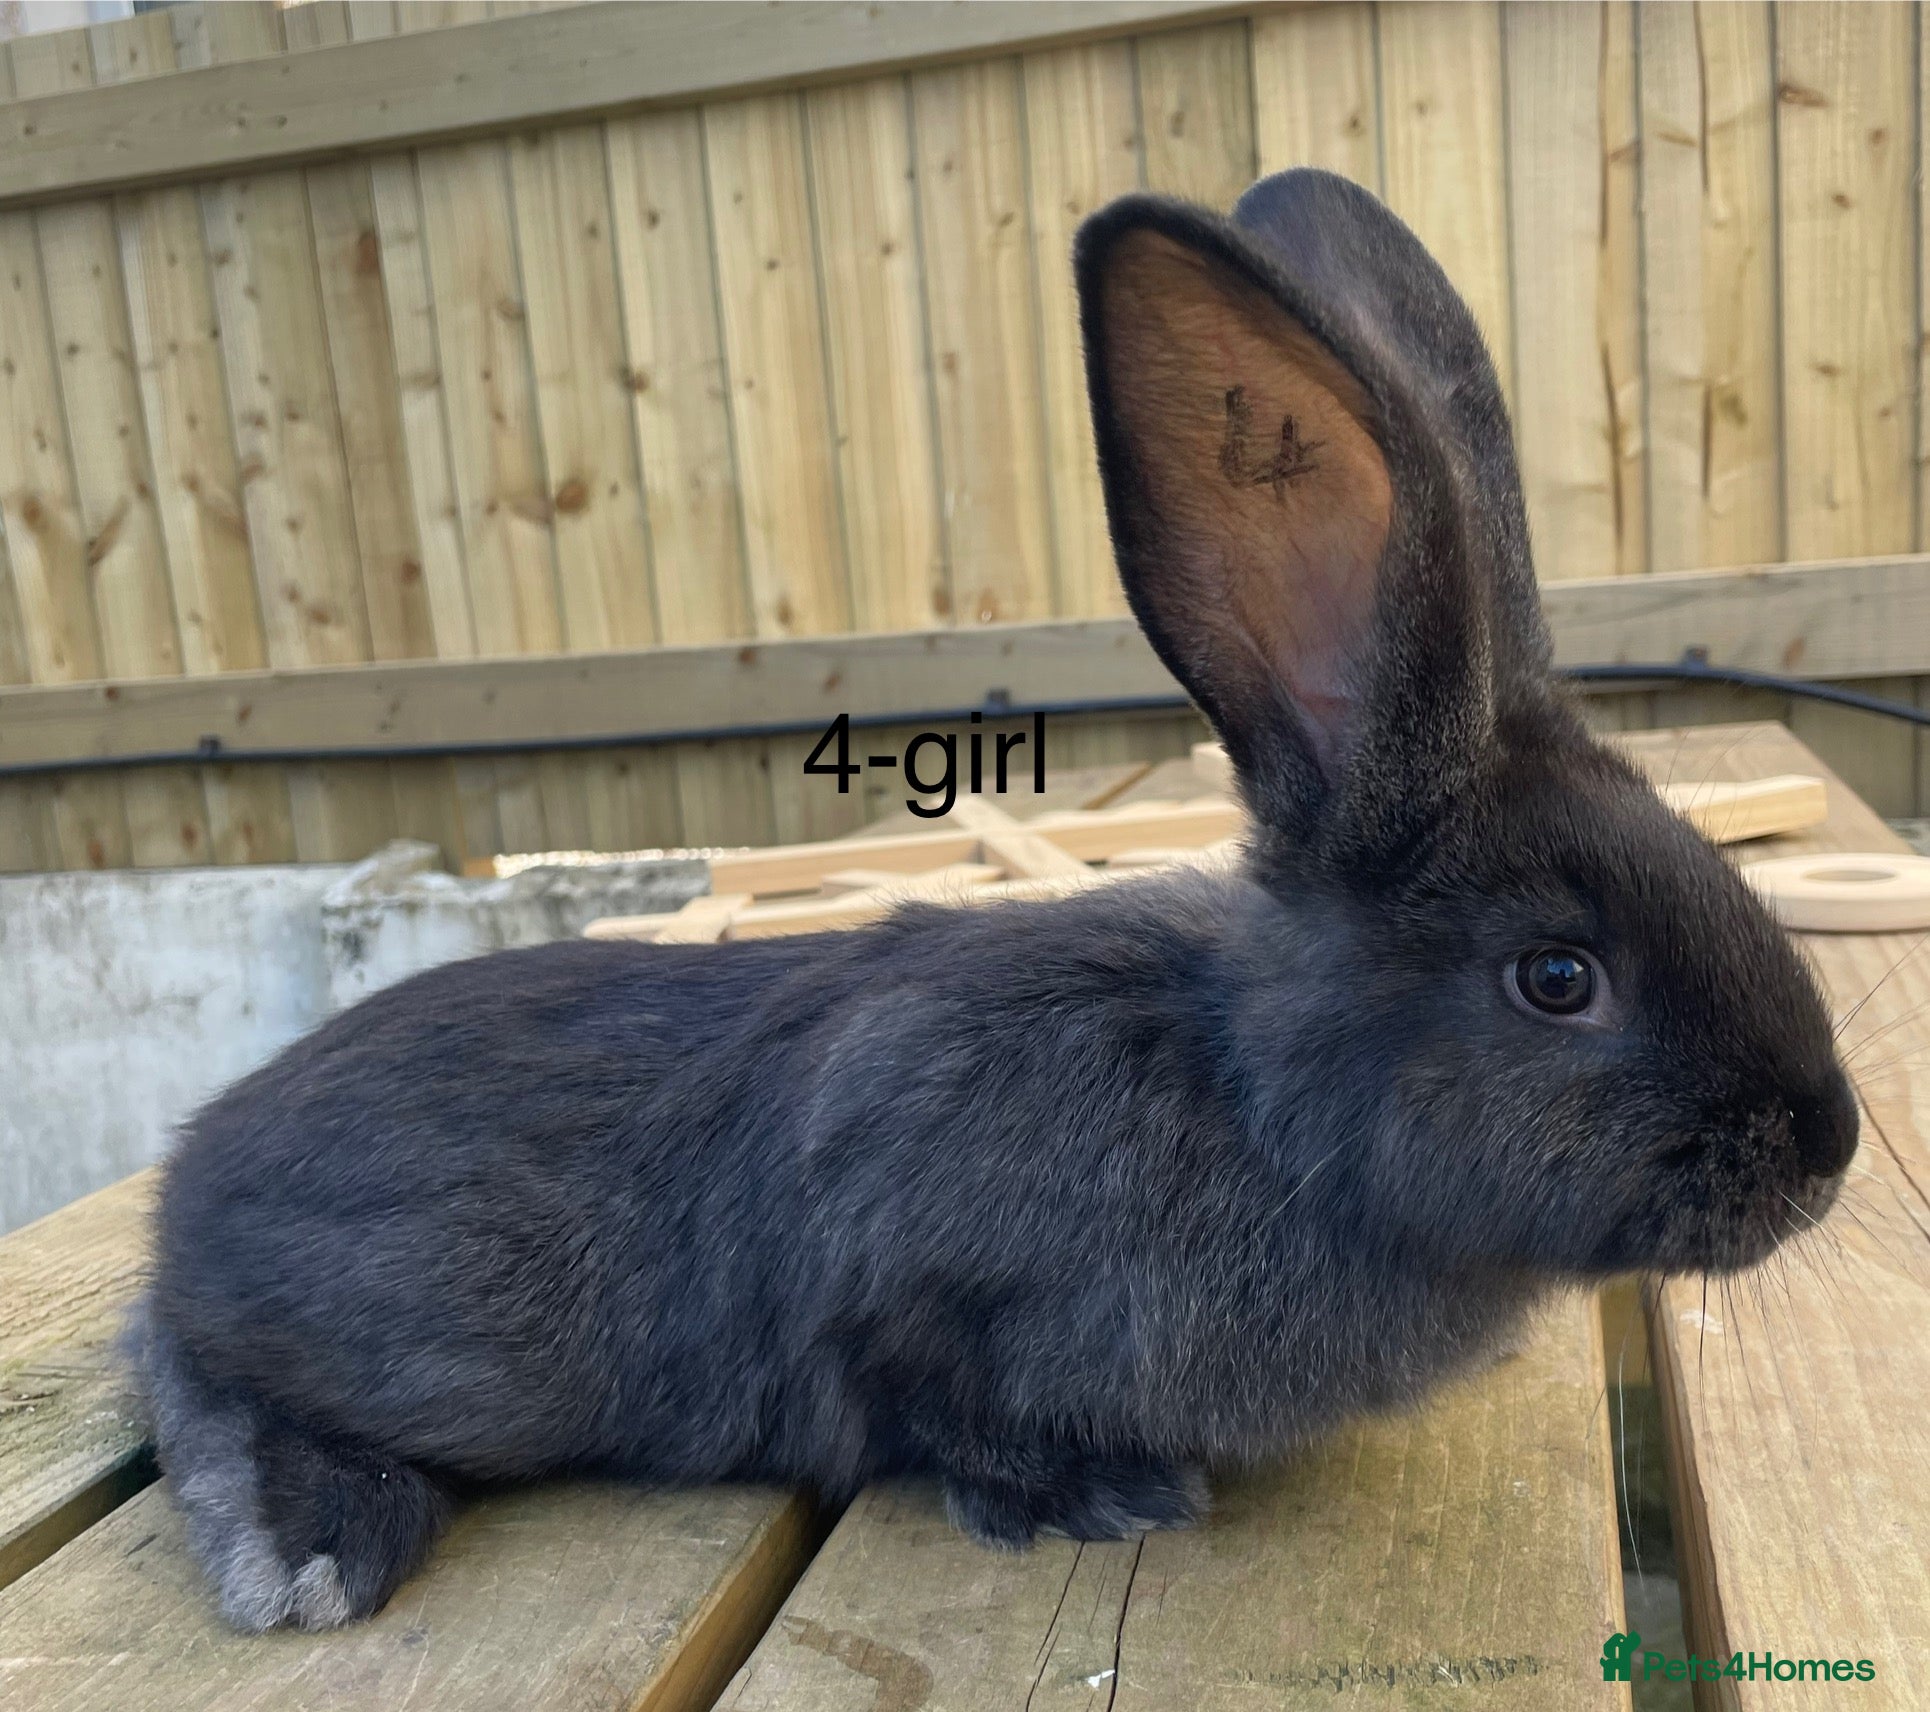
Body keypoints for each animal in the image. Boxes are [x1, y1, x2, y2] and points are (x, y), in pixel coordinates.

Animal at [134, 168, 1858, 1633]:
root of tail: (189, 1174)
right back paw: (309, 1541)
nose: (1827, 1144)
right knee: (186, 1370)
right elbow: (941, 1403)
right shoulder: (910, 1281)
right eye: (1556, 979)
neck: (1250, 1105)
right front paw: (1092, 1496)